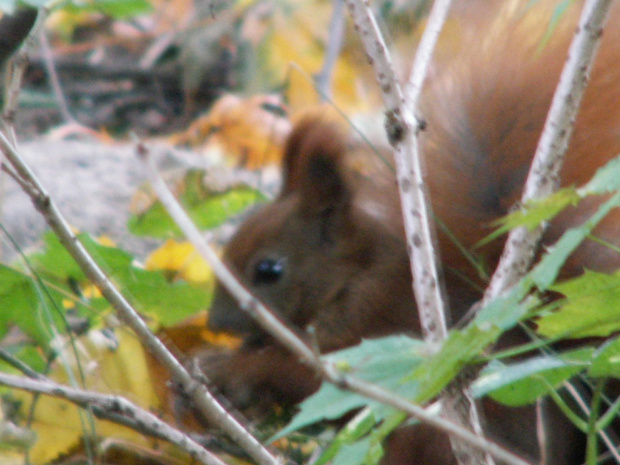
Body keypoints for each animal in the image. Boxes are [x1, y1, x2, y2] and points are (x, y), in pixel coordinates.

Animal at [202, 0, 620, 462]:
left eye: (269, 270)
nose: (215, 322)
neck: (352, 276)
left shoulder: (369, 330)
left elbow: (304, 377)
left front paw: (228, 368)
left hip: (432, 434)